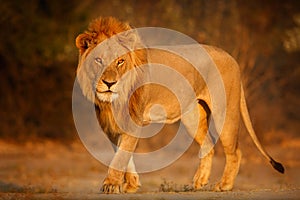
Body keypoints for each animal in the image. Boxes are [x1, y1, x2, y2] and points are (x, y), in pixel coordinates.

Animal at [74, 16, 284, 194]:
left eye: (120, 61)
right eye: (98, 60)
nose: (110, 83)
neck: (114, 101)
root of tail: (231, 57)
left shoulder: (133, 121)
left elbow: (121, 156)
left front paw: (111, 185)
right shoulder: (111, 126)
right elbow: (121, 154)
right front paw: (131, 184)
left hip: (224, 110)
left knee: (235, 151)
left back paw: (224, 185)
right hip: (193, 116)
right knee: (209, 144)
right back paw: (199, 182)